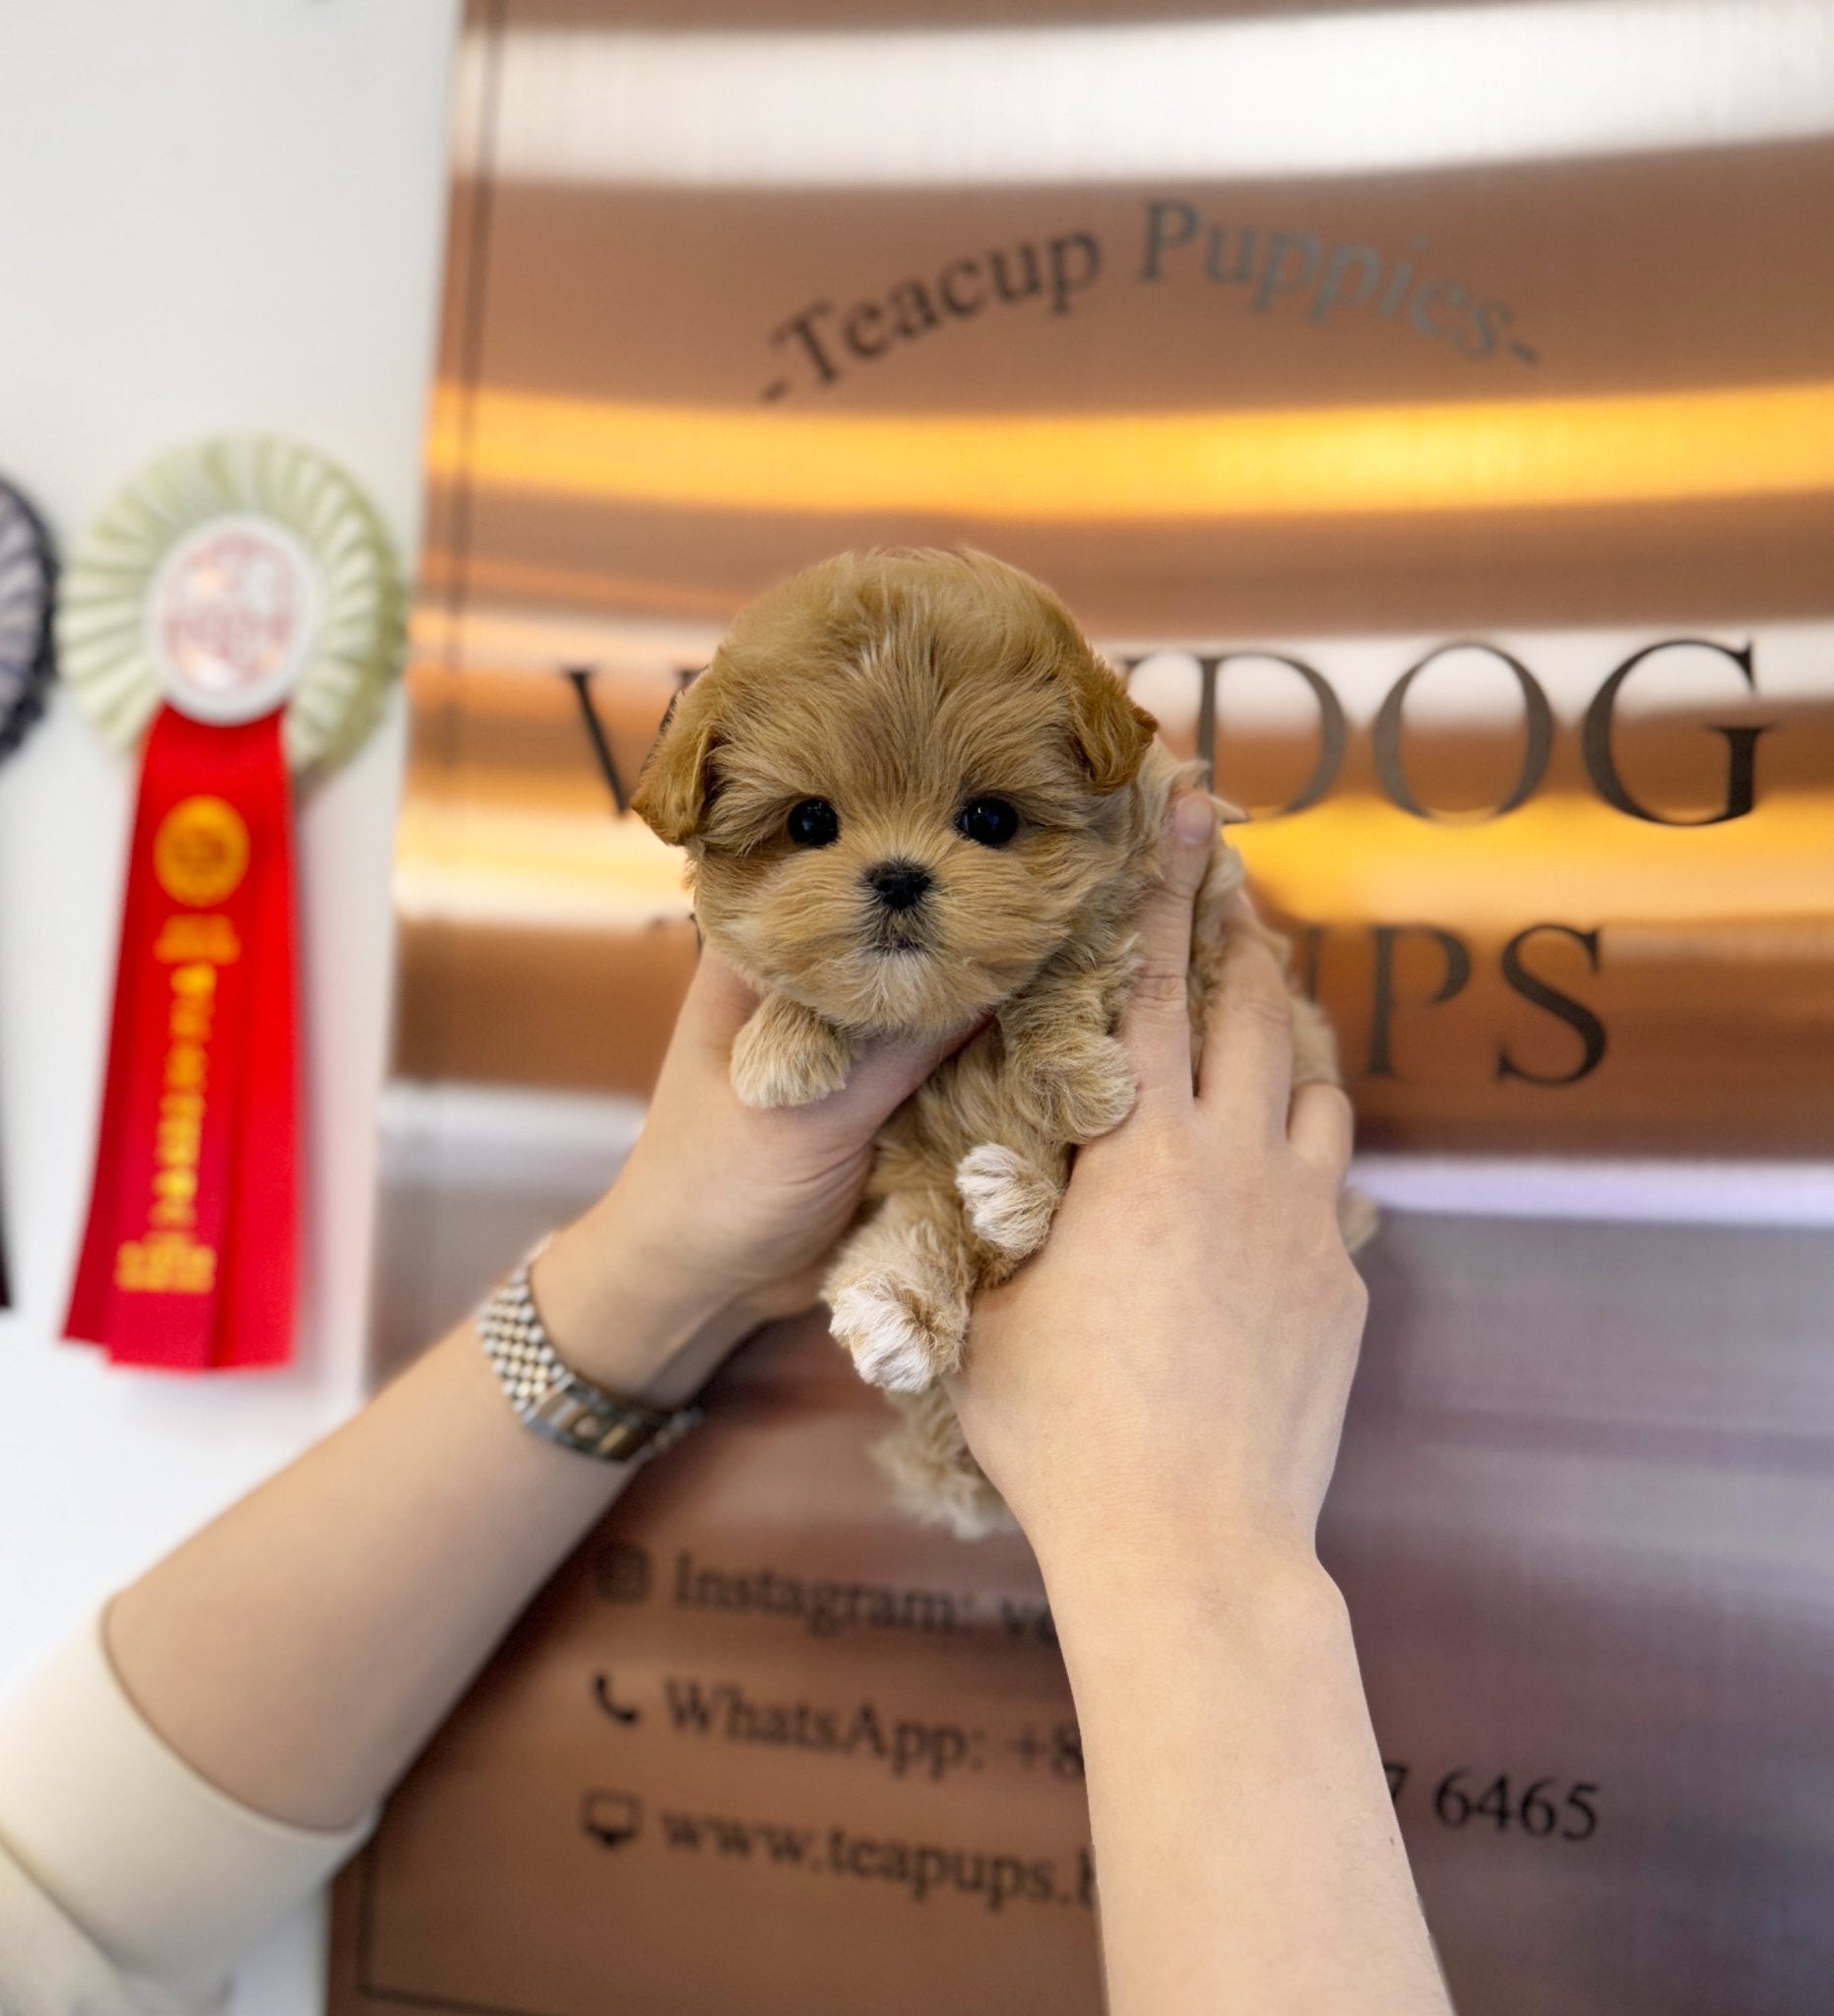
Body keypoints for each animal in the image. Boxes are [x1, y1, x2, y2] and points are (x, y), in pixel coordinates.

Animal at [641, 548, 1354, 1524]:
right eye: (809, 823)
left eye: (989, 819)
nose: (898, 876)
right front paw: (782, 1044)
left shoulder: (1171, 874)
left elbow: (1071, 958)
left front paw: (1068, 1077)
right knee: (924, 1233)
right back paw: (905, 1305)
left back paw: (1012, 1198)